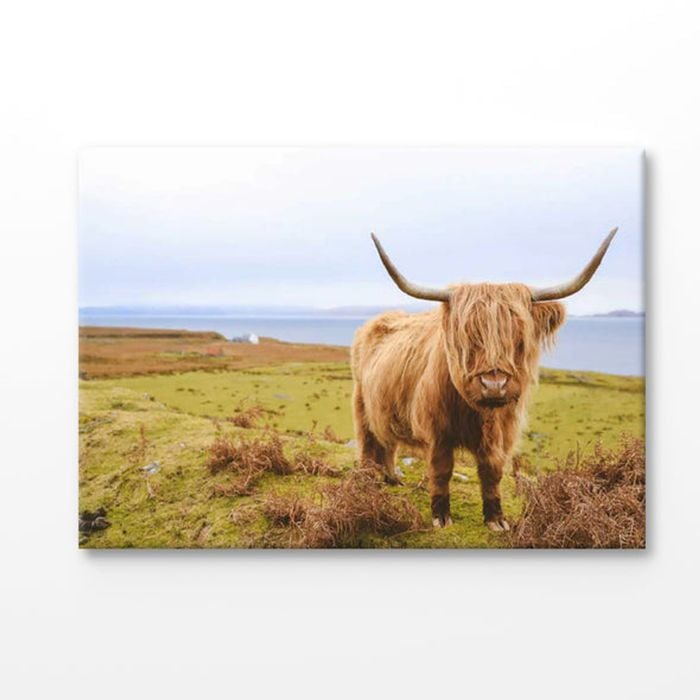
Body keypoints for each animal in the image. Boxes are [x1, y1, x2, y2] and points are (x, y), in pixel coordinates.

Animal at [350, 229, 617, 531]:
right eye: (469, 337)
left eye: (519, 338)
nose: (494, 386)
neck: (479, 413)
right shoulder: (437, 430)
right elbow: (441, 470)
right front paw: (441, 516)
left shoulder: (502, 433)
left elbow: (492, 471)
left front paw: (496, 519)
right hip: (361, 402)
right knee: (368, 440)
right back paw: (366, 482)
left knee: (388, 441)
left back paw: (392, 478)